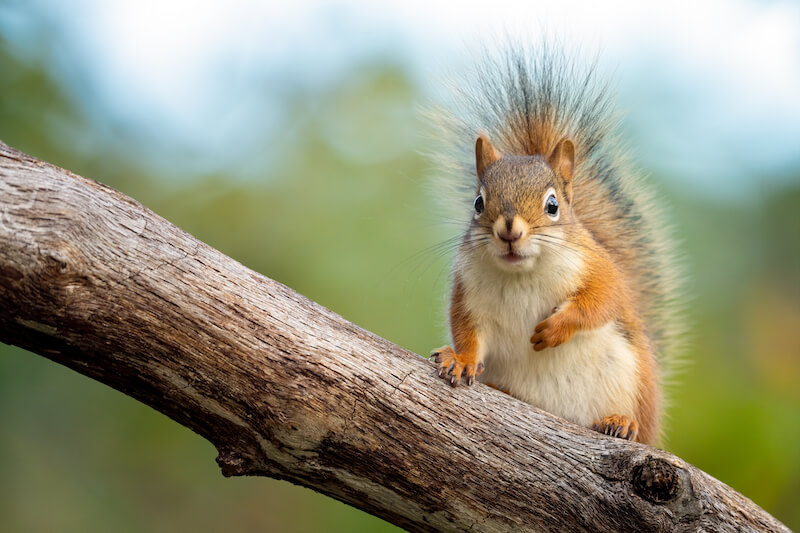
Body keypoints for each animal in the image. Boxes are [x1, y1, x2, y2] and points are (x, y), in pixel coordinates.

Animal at [430, 45, 684, 446]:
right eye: (478, 203)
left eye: (552, 206)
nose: (509, 230)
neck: (522, 273)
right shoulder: (468, 293)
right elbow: (468, 331)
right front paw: (461, 359)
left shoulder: (598, 266)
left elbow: (602, 299)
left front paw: (556, 328)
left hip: (636, 380)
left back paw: (622, 422)